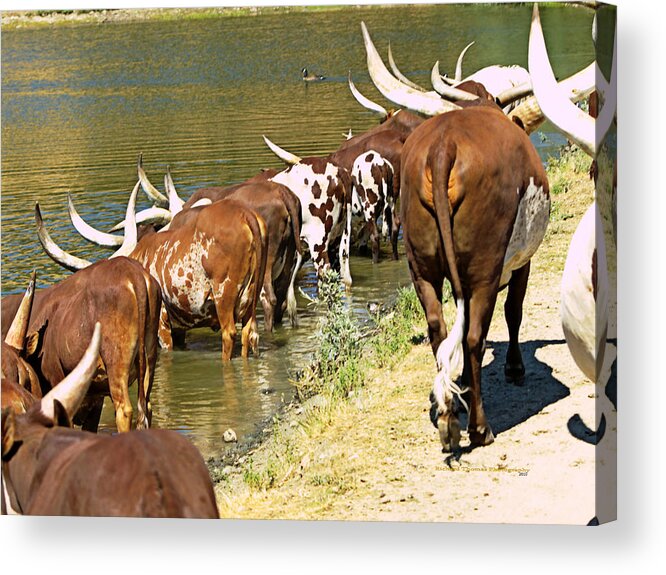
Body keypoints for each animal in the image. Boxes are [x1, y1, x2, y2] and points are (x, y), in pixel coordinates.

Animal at [0, 258, 161, 434]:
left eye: (24, 380)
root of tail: (133, 272)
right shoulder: (95, 399)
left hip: (116, 361)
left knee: (124, 410)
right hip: (149, 356)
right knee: (146, 407)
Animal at [37, 182, 266, 360]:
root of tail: (246, 216)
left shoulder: (161, 324)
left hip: (224, 296)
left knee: (229, 335)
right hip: (251, 300)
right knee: (250, 335)